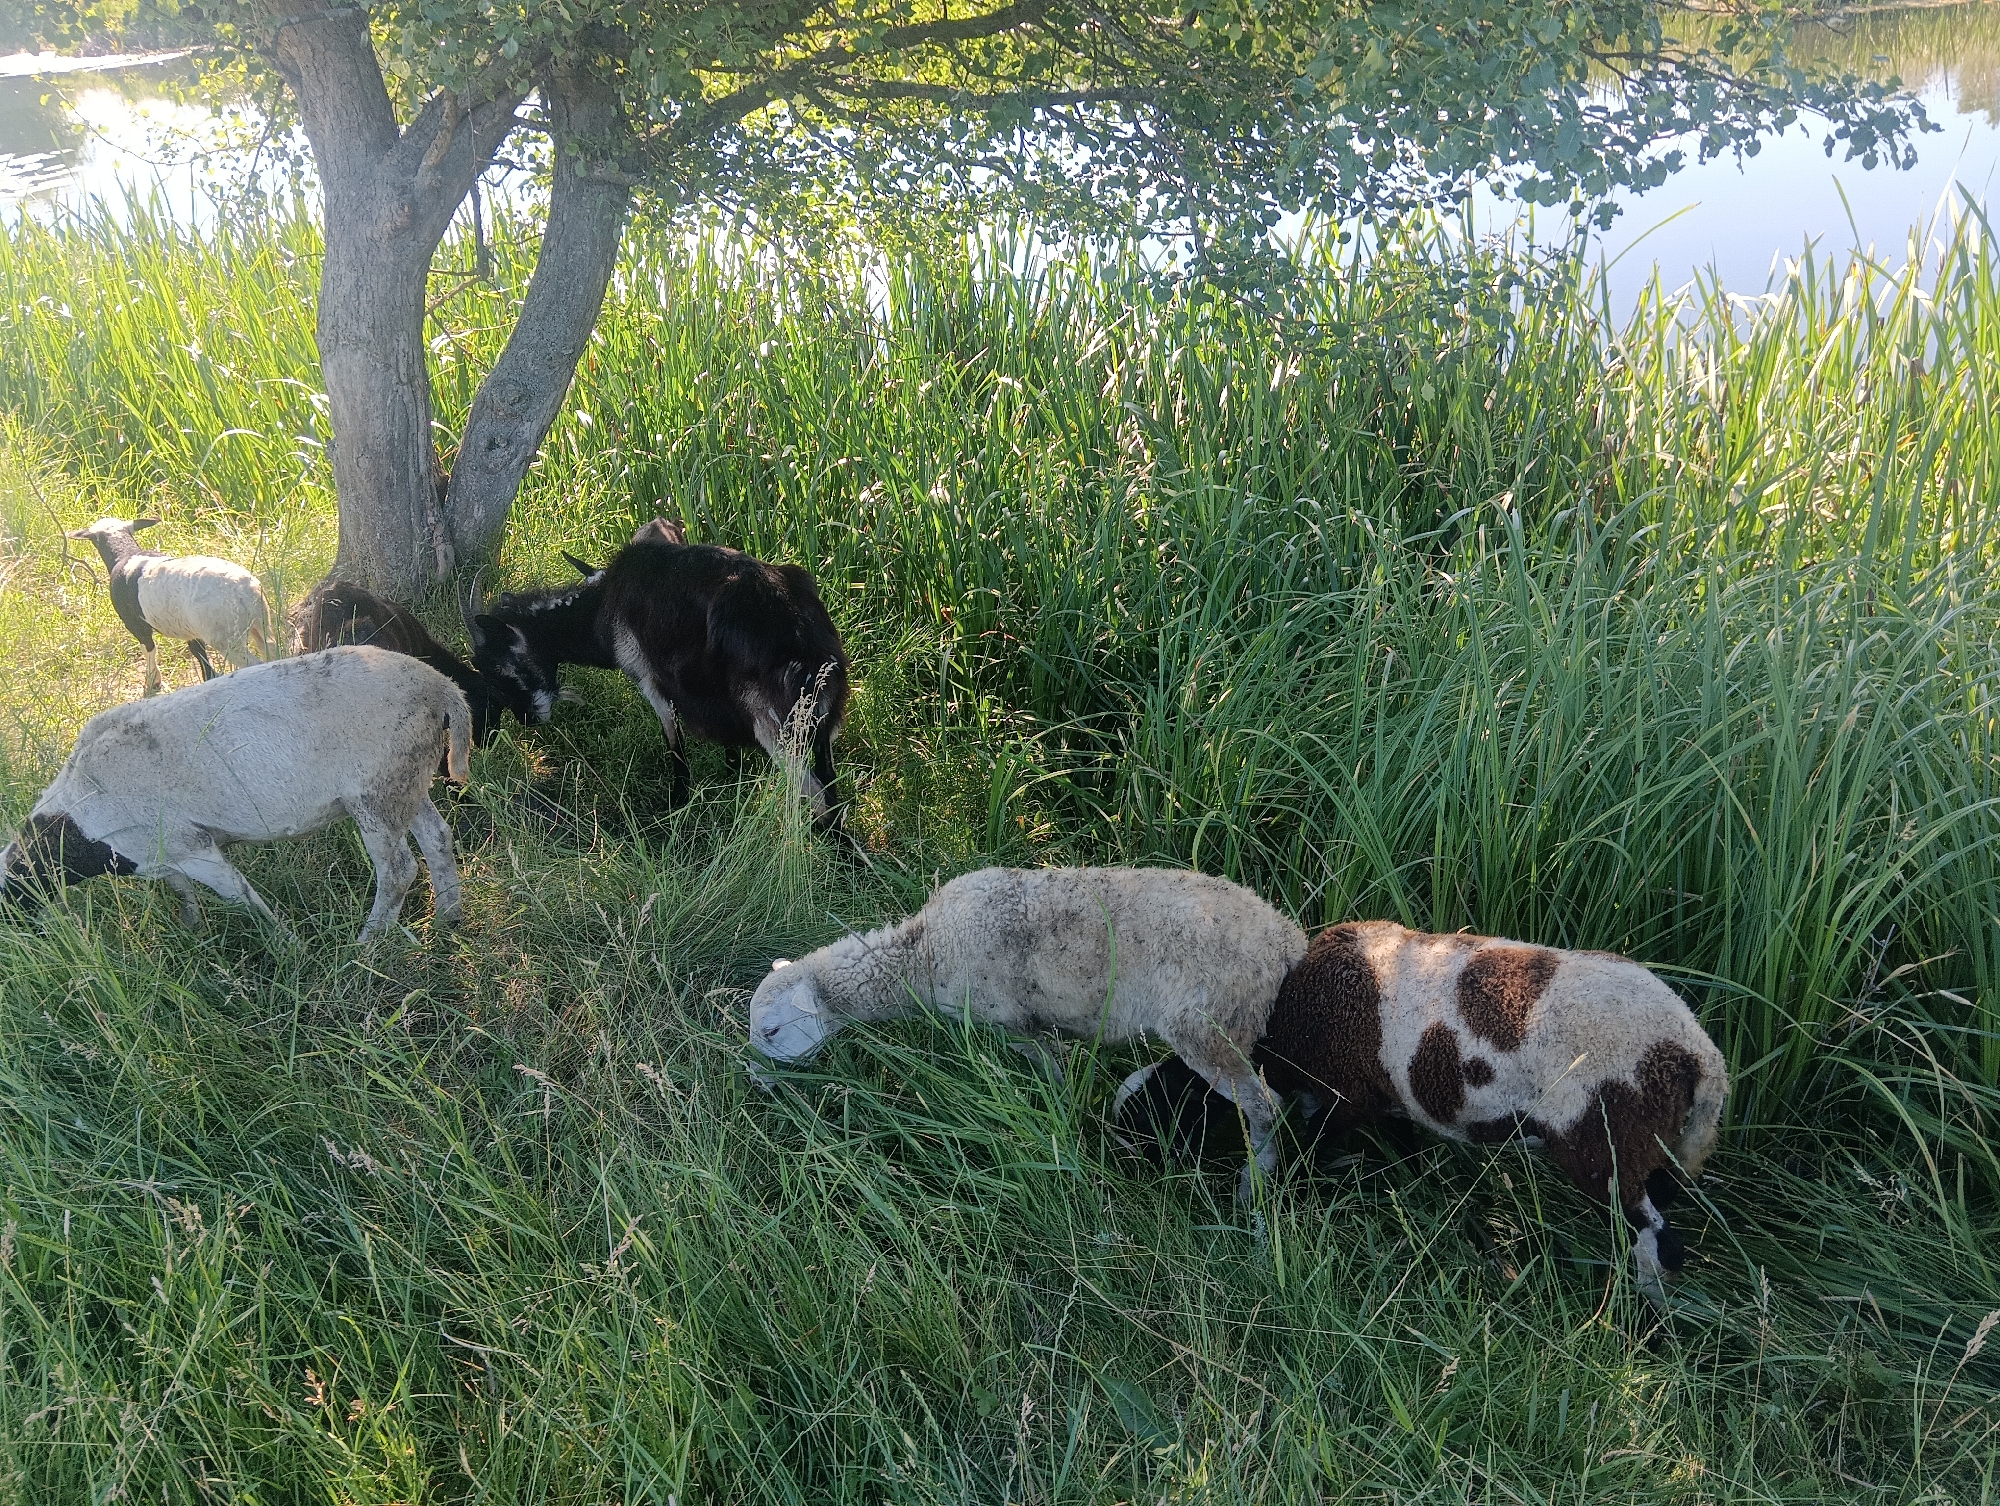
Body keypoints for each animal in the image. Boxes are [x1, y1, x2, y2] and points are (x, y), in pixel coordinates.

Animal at [1, 646, 471, 944]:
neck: (76, 826)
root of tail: (441, 687)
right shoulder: (161, 855)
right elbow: (182, 893)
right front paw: (193, 932)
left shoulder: (192, 846)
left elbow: (241, 897)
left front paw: (286, 944)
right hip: (404, 778)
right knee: (437, 837)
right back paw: (448, 917)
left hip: (377, 790)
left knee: (398, 871)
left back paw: (366, 945)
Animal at [68, 517, 271, 694]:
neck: (125, 554)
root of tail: (244, 591)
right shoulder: (191, 630)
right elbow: (198, 652)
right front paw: (208, 678)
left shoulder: (135, 624)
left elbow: (148, 648)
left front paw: (152, 682)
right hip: (261, 625)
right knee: (270, 652)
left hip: (226, 636)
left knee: (254, 663)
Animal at [465, 518, 850, 828]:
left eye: (498, 668)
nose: (529, 719)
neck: (603, 603)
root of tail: (803, 632)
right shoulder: (715, 695)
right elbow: (728, 747)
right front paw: (731, 784)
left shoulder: (650, 679)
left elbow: (673, 741)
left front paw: (677, 800)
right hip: (820, 719)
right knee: (831, 785)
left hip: (777, 726)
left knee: (817, 794)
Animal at [749, 866, 1309, 1198]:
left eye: (771, 1030)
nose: (755, 1080)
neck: (923, 951)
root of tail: (1286, 939)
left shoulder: (1011, 1022)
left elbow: (1050, 1068)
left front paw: (1062, 1112)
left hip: (1213, 1026)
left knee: (1265, 1105)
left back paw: (1254, 1186)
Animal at [1114, 921, 1728, 1303]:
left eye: (1159, 1113)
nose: (1123, 1170)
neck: (1284, 1029)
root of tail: (1697, 1054)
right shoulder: (1380, 1102)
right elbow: (1401, 1150)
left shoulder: (1345, 1097)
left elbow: (1308, 1150)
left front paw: (1280, 1202)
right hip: (1651, 1146)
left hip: (1605, 1144)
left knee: (1660, 1241)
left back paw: (1641, 1316)